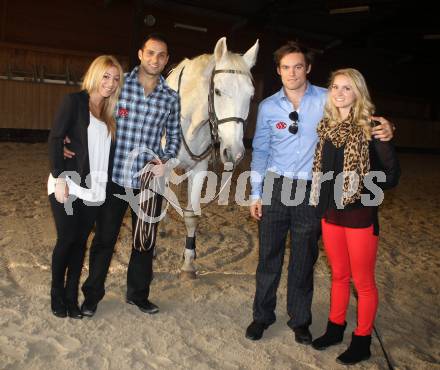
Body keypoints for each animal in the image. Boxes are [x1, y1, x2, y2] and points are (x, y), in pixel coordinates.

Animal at [166, 36, 260, 278]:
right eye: (217, 91)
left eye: (251, 96)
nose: (235, 152)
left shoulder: (198, 168)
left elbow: (192, 215)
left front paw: (188, 263)